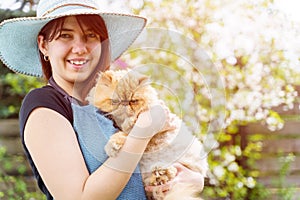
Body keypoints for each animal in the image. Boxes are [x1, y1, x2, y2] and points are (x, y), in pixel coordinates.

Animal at [86, 69, 207, 199]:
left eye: (133, 101)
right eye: (115, 101)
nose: (124, 104)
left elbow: (129, 127)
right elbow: (121, 133)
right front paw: (113, 145)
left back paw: (160, 173)